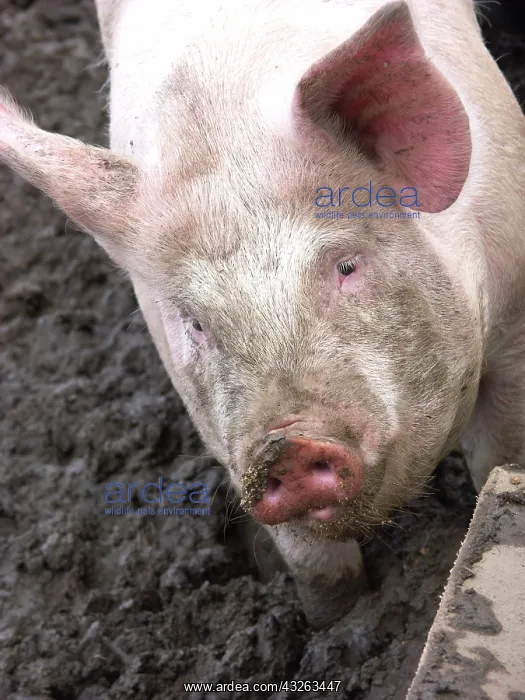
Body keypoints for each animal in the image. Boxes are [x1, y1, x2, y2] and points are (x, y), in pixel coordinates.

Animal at [2, 0, 525, 628]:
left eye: (346, 265)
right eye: (195, 322)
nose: (285, 444)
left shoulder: (514, 318)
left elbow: (498, 455)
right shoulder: (226, 439)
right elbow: (316, 565)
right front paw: (334, 626)